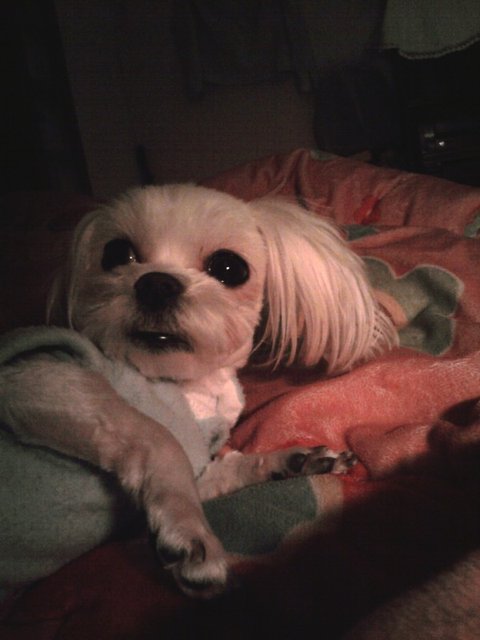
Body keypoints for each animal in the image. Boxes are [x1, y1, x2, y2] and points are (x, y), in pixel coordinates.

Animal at [0, 184, 396, 597]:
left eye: (229, 267)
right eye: (116, 254)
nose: (156, 283)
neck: (190, 389)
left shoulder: (198, 473)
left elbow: (228, 468)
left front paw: (290, 460)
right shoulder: (39, 379)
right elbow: (158, 437)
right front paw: (189, 531)